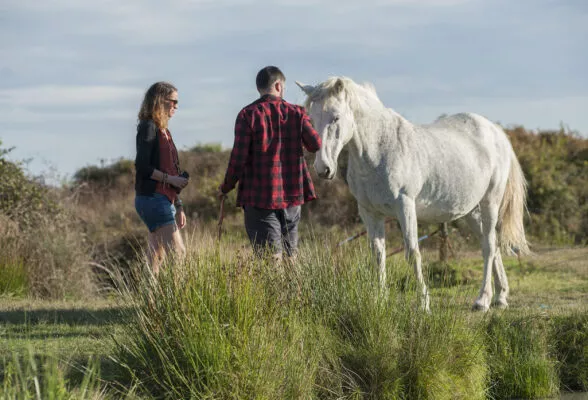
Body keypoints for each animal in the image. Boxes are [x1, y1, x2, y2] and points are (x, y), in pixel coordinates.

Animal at [296, 76, 532, 310]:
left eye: (335, 117)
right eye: (312, 119)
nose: (323, 169)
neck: (380, 149)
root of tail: (496, 132)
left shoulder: (405, 206)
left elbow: (412, 253)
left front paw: (423, 303)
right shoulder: (370, 213)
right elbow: (378, 255)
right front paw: (380, 300)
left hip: (490, 202)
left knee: (489, 246)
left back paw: (482, 300)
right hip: (471, 211)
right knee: (491, 244)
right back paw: (500, 297)